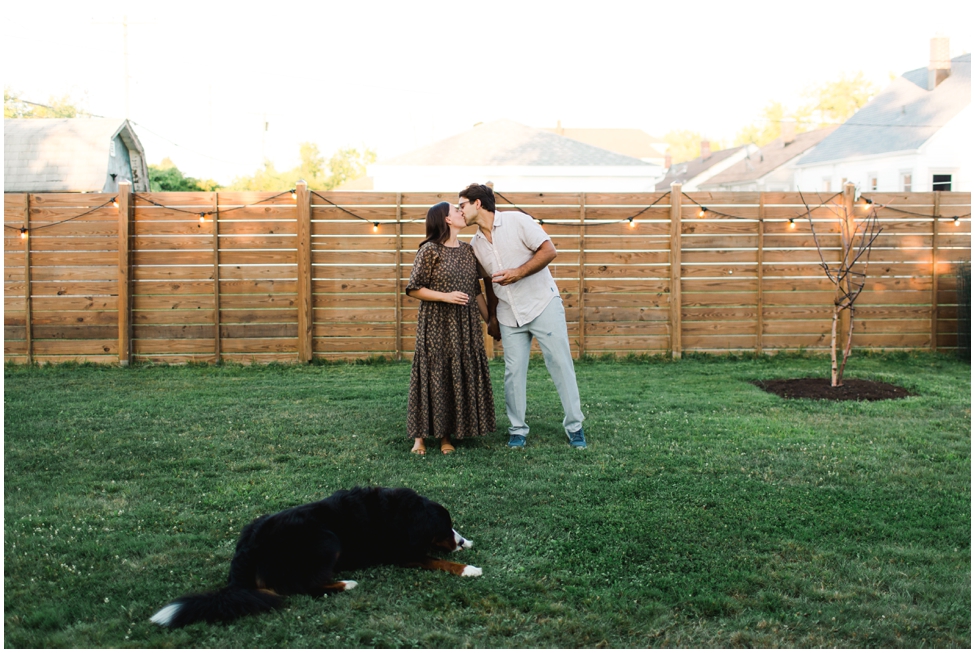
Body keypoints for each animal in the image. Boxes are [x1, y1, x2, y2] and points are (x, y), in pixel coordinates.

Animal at [149, 484, 480, 628]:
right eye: (444, 528)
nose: (458, 539)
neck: (402, 512)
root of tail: (248, 548)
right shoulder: (402, 553)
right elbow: (437, 560)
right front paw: (468, 568)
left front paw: (467, 543)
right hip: (326, 538)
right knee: (299, 588)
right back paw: (346, 584)